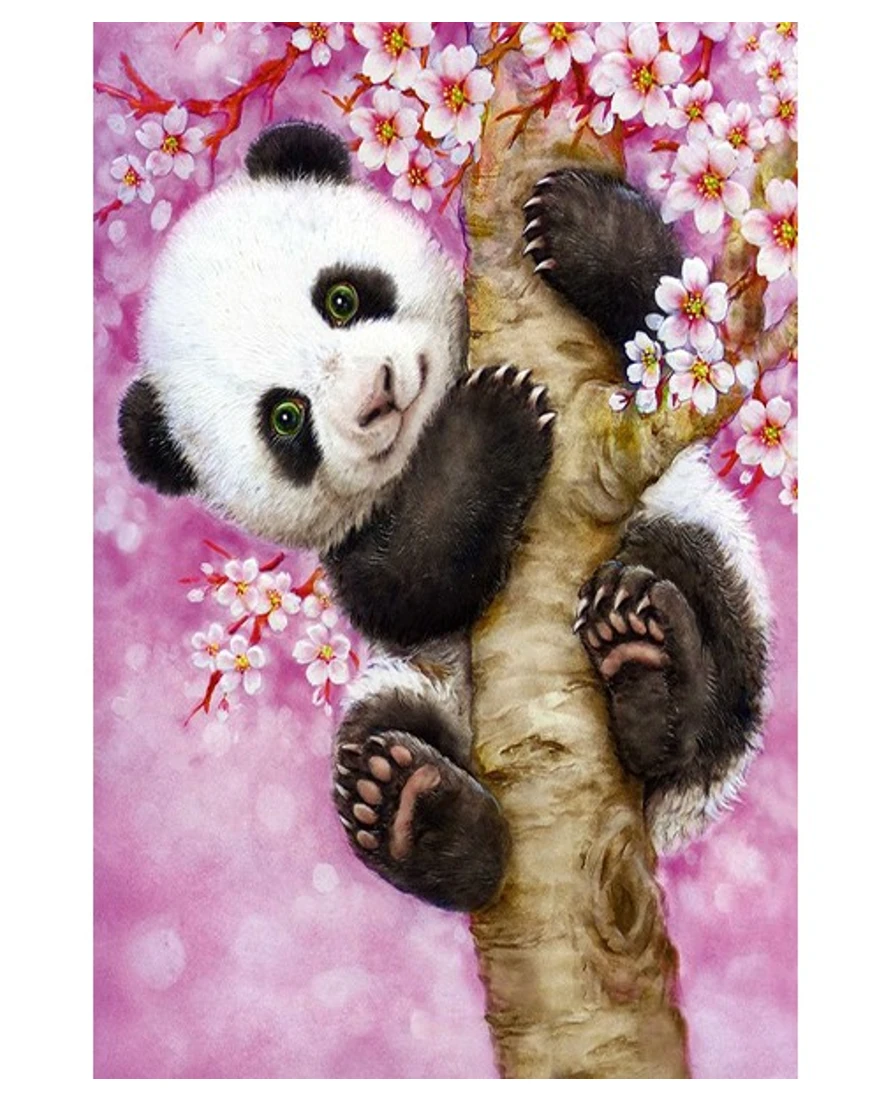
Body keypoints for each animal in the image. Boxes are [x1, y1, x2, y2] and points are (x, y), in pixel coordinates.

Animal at [119, 121, 769, 912]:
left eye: (341, 298)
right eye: (285, 418)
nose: (378, 394)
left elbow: (679, 330)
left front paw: (576, 221)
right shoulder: (354, 546)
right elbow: (408, 585)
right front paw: (490, 421)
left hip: (705, 552)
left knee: (699, 602)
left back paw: (651, 670)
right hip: (414, 690)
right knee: (377, 741)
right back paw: (421, 816)